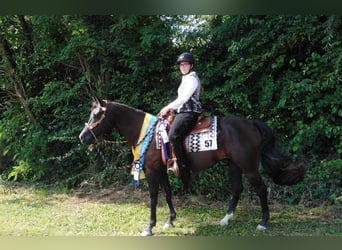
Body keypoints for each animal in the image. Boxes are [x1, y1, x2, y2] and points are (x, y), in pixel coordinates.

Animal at [79, 98, 306, 236]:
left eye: (98, 115)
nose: (83, 137)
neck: (149, 135)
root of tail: (251, 124)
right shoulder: (162, 171)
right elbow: (167, 194)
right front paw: (170, 220)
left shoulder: (152, 172)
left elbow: (153, 198)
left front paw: (149, 227)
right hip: (233, 165)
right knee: (237, 189)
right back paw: (225, 219)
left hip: (248, 167)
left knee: (261, 189)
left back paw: (263, 222)